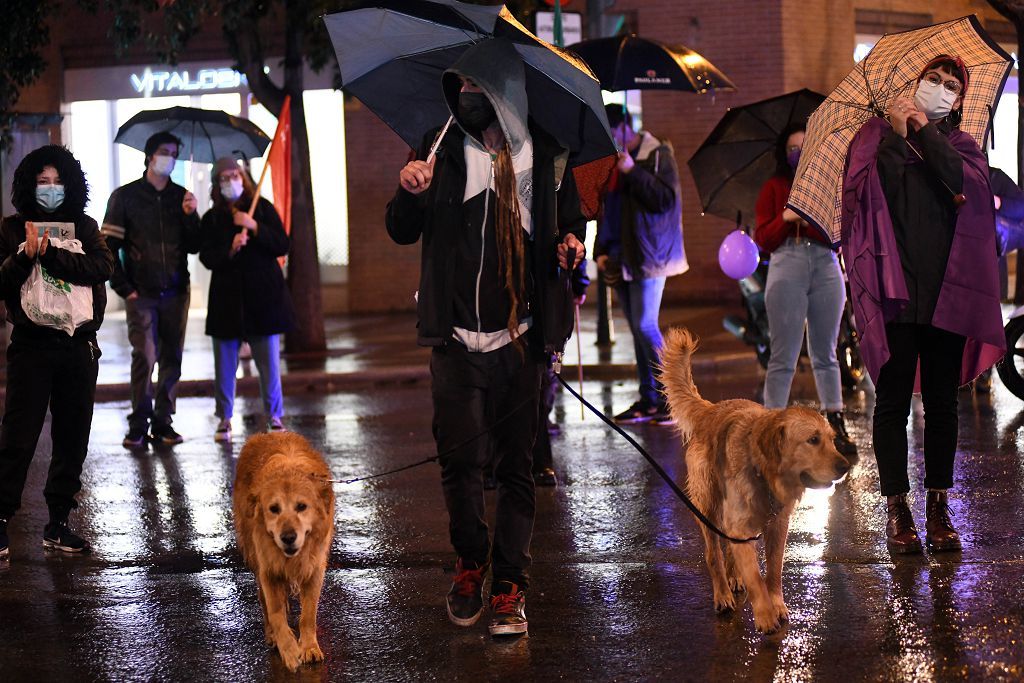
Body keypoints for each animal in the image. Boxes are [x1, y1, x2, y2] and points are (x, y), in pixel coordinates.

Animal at [233, 436, 335, 671]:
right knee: (263, 600)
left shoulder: (314, 569)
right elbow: (276, 613)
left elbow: (308, 615)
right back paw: (272, 636)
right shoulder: (268, 569)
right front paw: (288, 648)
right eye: (274, 509)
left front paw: (309, 647)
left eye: (301, 506)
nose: (288, 537)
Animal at [659, 327, 851, 634]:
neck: (765, 474)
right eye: (812, 440)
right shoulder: (740, 524)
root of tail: (711, 409)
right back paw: (723, 594)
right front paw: (764, 614)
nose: (845, 466)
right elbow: (755, 577)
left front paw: (777, 605)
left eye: (832, 440)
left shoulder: (777, 526)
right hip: (708, 507)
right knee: (714, 555)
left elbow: (772, 571)